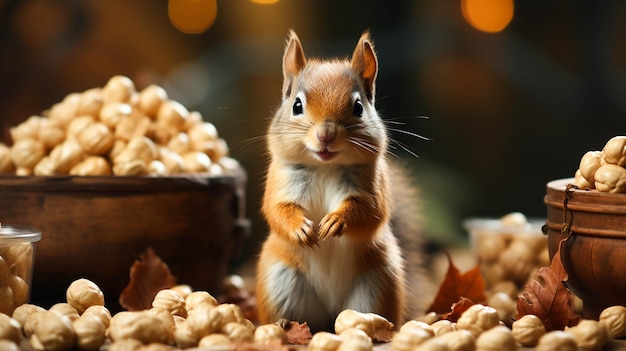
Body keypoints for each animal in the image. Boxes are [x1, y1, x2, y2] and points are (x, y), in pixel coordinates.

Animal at [254, 30, 428, 332]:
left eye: (358, 107)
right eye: (296, 105)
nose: (326, 135)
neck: (326, 167)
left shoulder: (372, 187)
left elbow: (369, 212)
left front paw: (336, 221)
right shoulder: (281, 182)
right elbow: (277, 211)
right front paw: (301, 229)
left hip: (377, 284)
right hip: (281, 281)